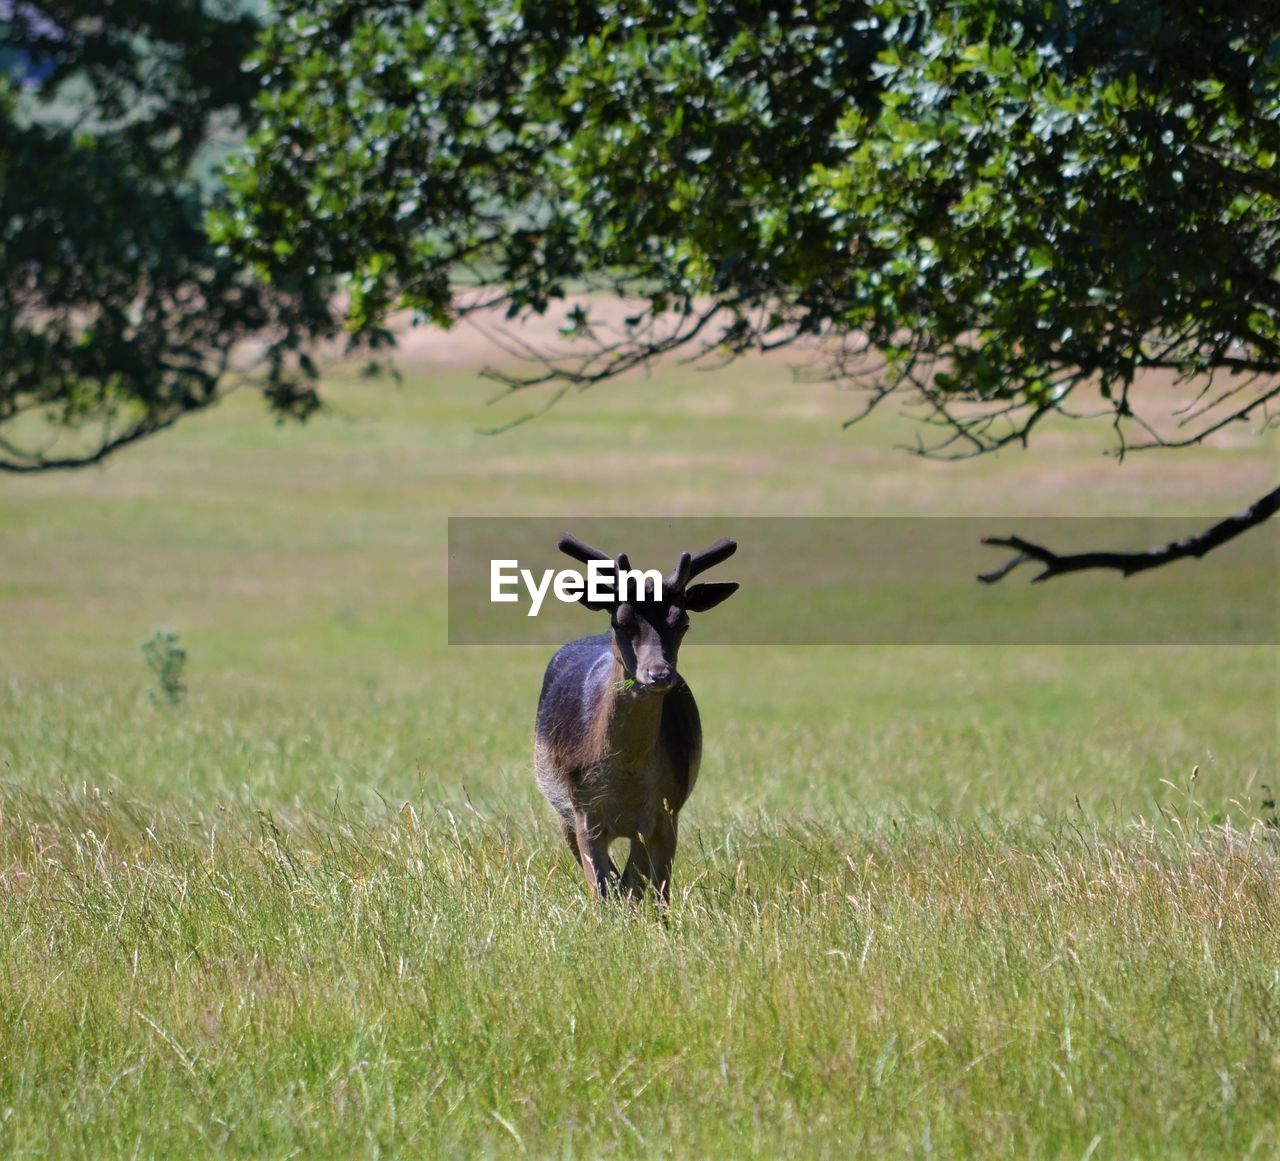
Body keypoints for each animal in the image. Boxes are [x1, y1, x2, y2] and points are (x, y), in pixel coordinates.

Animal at [535, 529, 742, 901]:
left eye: (683, 621)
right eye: (620, 620)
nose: (659, 674)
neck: (626, 781)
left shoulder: (667, 811)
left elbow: (655, 892)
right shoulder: (584, 813)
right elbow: (602, 891)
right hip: (560, 807)